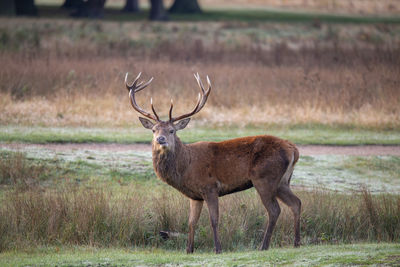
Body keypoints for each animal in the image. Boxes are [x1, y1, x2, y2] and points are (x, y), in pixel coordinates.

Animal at [124, 72, 300, 254]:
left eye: (171, 131)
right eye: (154, 130)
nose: (160, 139)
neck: (186, 167)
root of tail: (294, 149)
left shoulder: (210, 187)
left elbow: (214, 219)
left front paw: (218, 249)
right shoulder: (195, 196)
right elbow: (191, 222)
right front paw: (189, 250)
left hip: (264, 178)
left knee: (274, 210)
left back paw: (263, 246)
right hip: (282, 181)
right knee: (296, 203)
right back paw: (296, 242)